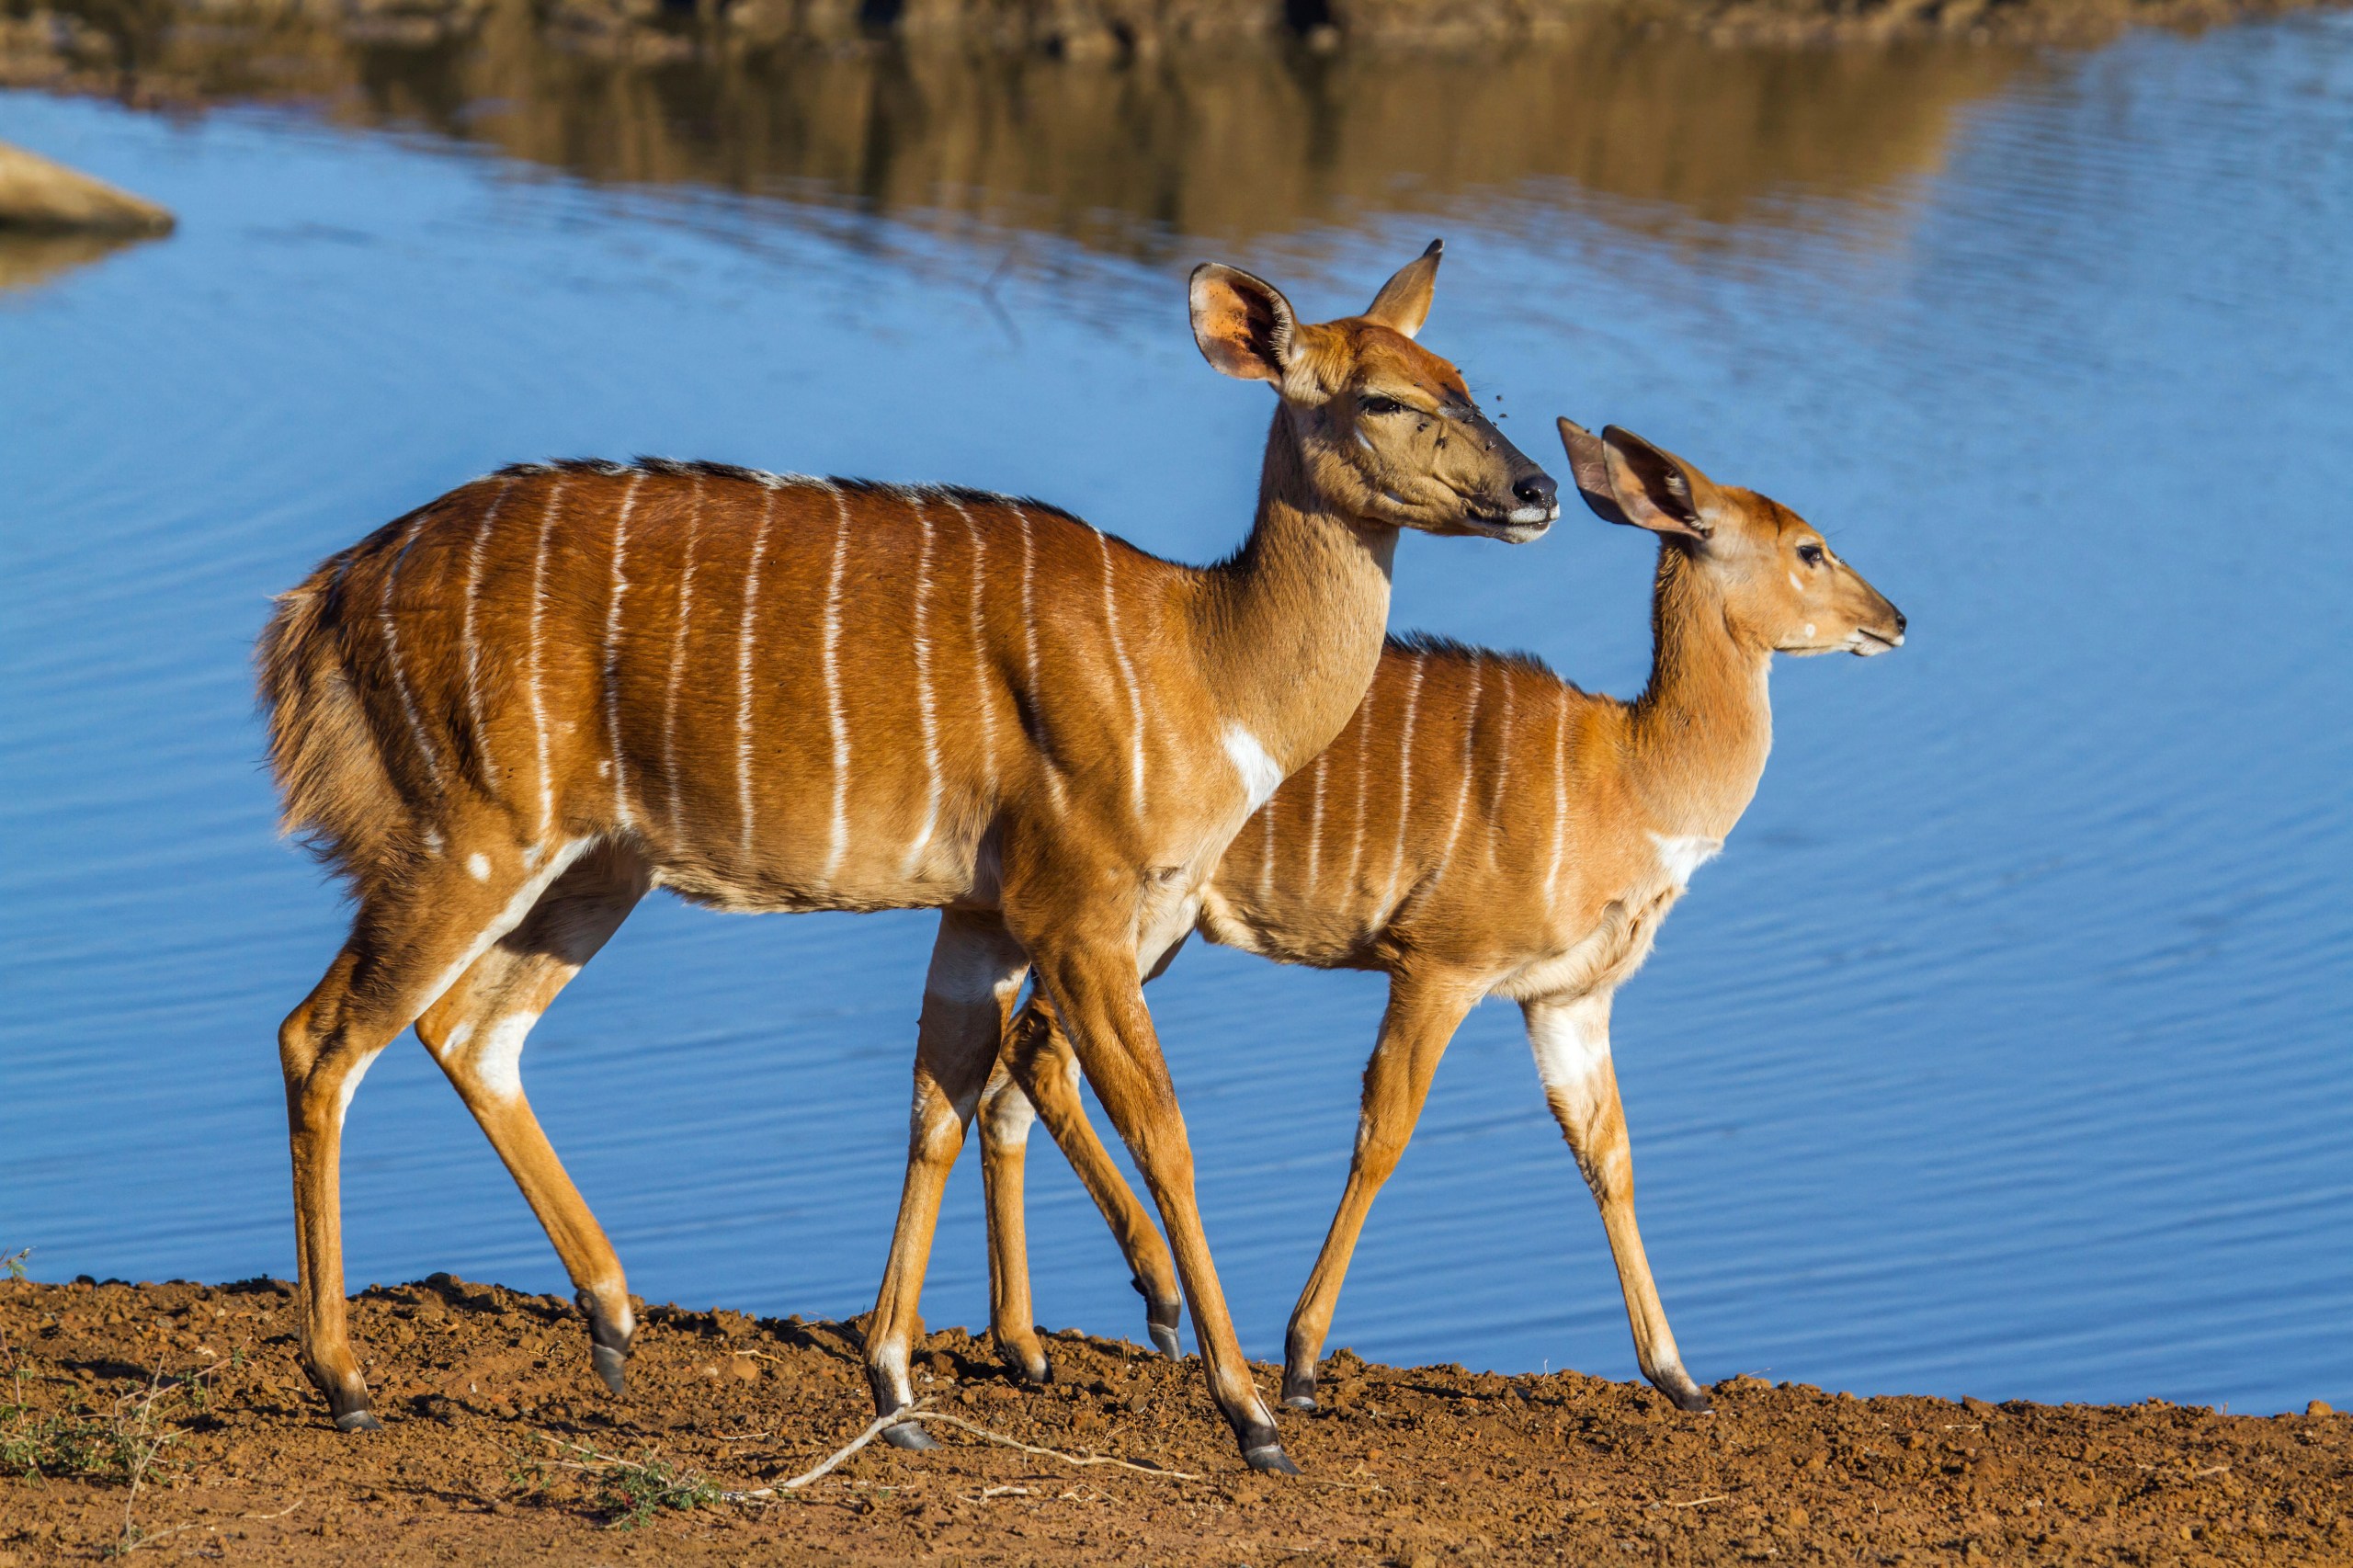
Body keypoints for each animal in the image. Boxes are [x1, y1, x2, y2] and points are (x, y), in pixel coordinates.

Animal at [257, 241, 1562, 1469]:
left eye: (1465, 377)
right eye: (1384, 396)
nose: (1537, 487)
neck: (1204, 663)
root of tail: (330, 589)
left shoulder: (982, 913)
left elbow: (936, 1106)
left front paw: (895, 1391)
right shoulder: (1079, 910)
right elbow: (1166, 1131)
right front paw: (1250, 1416)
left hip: (591, 863)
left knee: (468, 1029)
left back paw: (616, 1323)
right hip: (472, 829)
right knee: (325, 1036)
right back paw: (347, 1381)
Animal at [950, 414, 1892, 1403]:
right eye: (1810, 548)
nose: (1895, 619)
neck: (1631, 775)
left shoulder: (1567, 997)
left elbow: (1609, 1155)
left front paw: (1678, 1377)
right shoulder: (1441, 965)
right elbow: (1384, 1132)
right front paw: (1301, 1362)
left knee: (1014, 1074)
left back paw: (1029, 1342)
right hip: (1128, 925)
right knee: (1036, 1054)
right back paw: (1153, 1302)